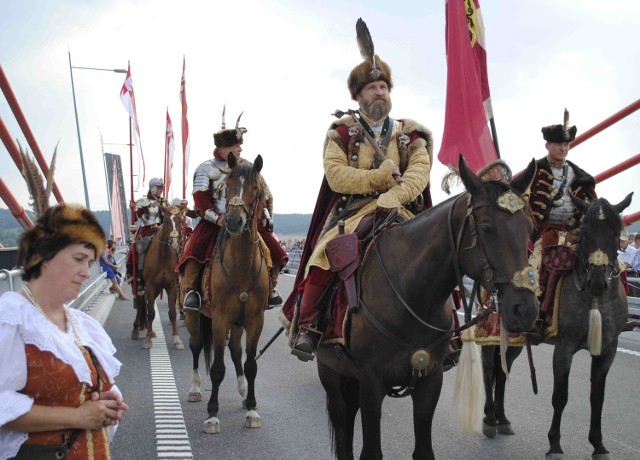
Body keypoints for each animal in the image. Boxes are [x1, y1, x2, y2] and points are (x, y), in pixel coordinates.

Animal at [132, 201, 188, 348]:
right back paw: (136, 329)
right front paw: (147, 340)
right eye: (167, 221)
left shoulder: (172, 286)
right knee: (141, 304)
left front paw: (177, 339)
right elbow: (151, 313)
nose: (175, 244)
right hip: (142, 286)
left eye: (179, 220)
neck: (163, 257)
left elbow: (172, 313)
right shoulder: (150, 286)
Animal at [316, 156, 540, 458]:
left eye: (529, 229)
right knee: (342, 421)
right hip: (329, 369)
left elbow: (423, 449)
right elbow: (371, 451)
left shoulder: (430, 380)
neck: (410, 295)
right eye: (486, 228)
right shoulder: (371, 382)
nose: (525, 309)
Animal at [482, 191, 632, 460]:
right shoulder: (564, 348)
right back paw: (489, 419)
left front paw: (598, 445)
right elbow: (560, 397)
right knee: (489, 369)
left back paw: (502, 419)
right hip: (492, 333)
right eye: (584, 232)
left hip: (517, 340)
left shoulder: (608, 350)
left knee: (502, 371)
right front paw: (554, 445)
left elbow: (598, 398)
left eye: (616, 233)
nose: (597, 281)